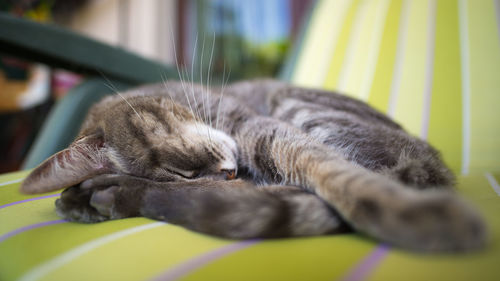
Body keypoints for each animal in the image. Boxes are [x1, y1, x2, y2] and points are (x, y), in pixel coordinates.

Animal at [21, 78, 486, 252]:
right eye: (186, 171)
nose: (228, 171)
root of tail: (429, 167)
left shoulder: (259, 128)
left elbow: (334, 174)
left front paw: (402, 214)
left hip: (301, 107)